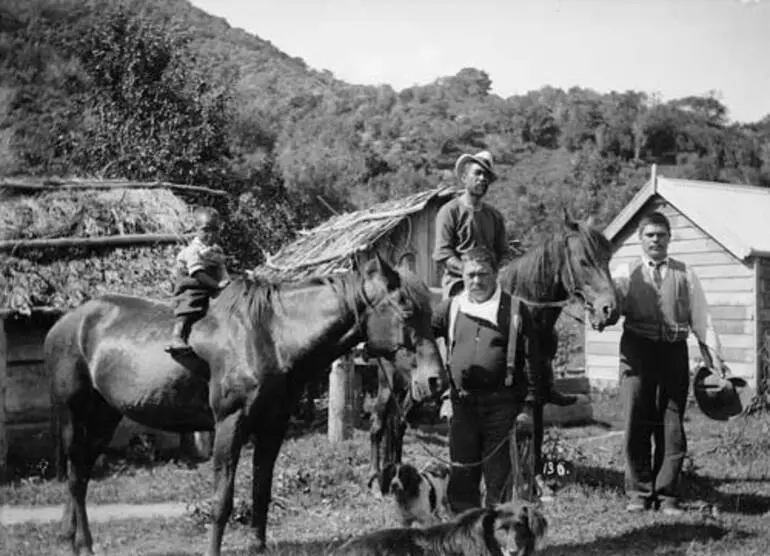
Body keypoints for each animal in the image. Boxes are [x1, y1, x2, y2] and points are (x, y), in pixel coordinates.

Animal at [48, 256, 440, 556]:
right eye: (406, 311)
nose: (435, 379)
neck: (271, 337)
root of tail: (68, 322)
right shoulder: (229, 425)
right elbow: (222, 500)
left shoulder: (272, 427)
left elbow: (261, 492)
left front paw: (258, 545)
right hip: (75, 416)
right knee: (75, 473)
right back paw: (80, 543)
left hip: (105, 418)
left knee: (81, 473)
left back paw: (73, 537)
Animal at [366, 211, 616, 480]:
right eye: (583, 261)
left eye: (607, 258)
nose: (609, 310)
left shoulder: (535, 393)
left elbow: (535, 433)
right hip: (388, 383)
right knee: (380, 423)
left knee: (397, 422)